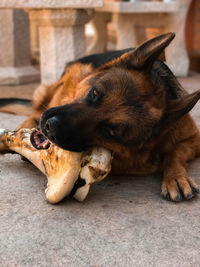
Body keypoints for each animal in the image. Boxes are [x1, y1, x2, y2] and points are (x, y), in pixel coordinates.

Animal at [1, 32, 200, 202]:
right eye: (95, 93)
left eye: (110, 131)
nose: (50, 127)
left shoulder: (193, 138)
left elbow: (175, 152)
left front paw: (177, 177)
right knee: (35, 112)